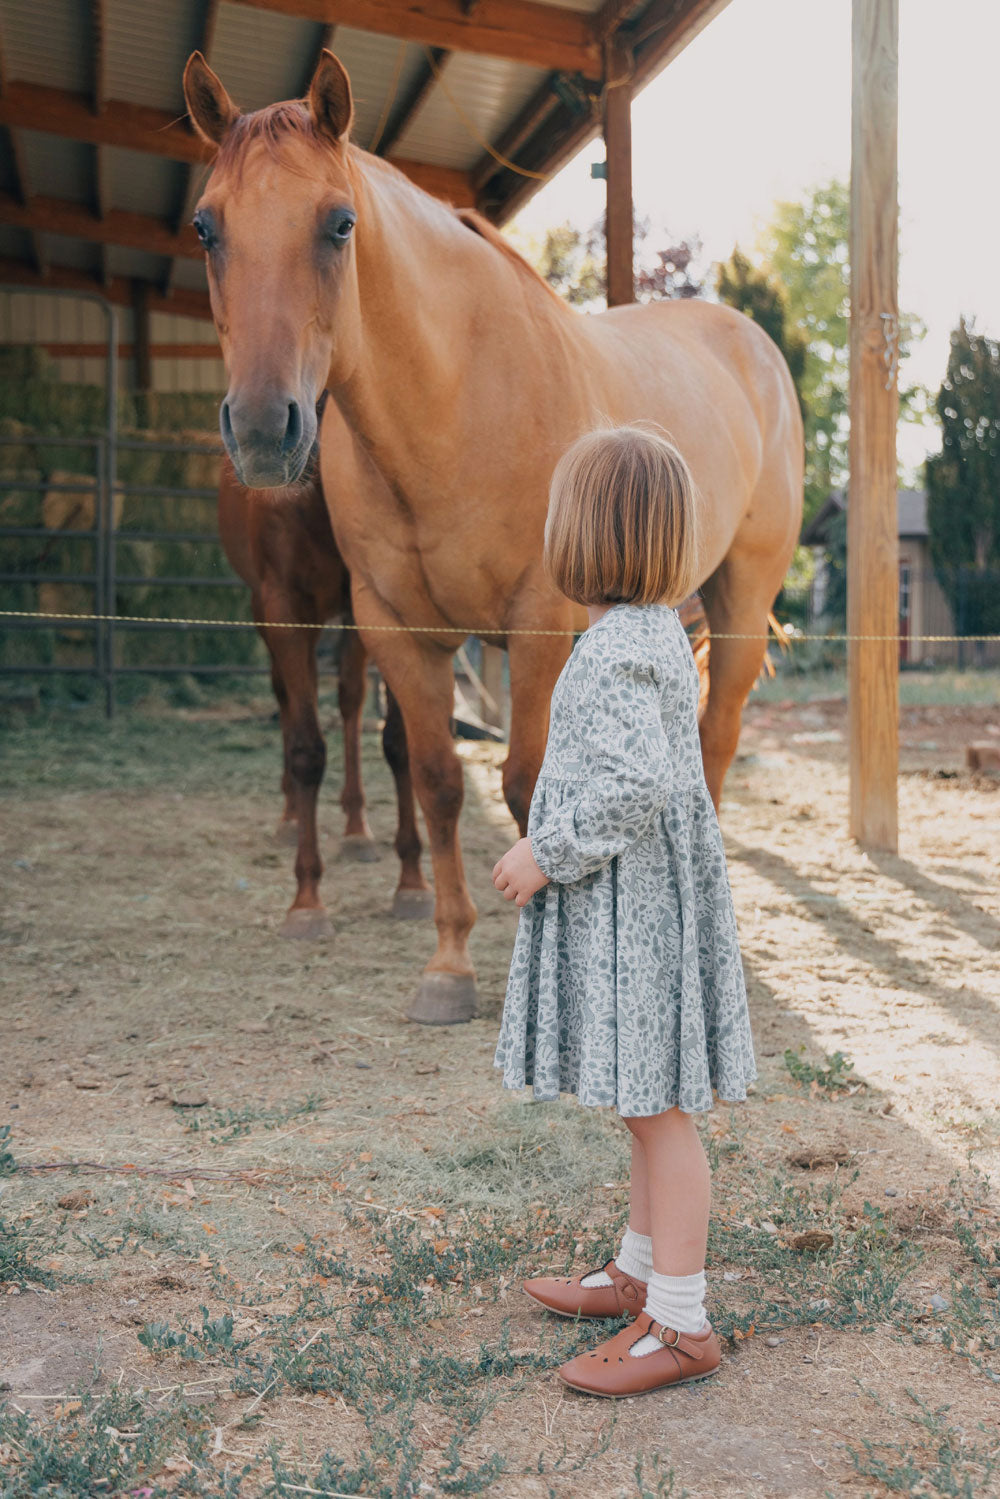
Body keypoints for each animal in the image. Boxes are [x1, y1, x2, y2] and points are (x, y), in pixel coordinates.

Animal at [218, 452, 431, 935]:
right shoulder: (285, 609)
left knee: (350, 698)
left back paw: (356, 828)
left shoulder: (385, 607)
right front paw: (307, 900)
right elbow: (307, 750)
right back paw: (291, 816)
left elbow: (398, 743)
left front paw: (411, 883)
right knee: (289, 699)